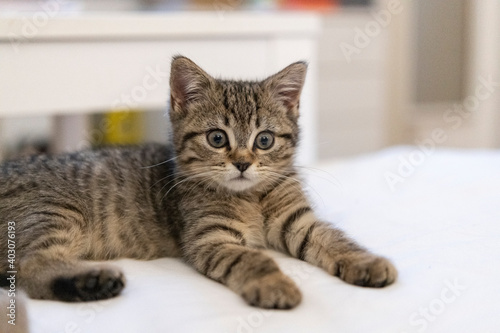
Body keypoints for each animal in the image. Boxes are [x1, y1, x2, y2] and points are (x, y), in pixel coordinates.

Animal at [0, 55, 398, 308]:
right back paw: (93, 281)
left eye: (264, 140)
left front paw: (365, 261)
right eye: (217, 138)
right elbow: (254, 259)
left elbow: (335, 238)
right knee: (29, 268)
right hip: (57, 210)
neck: (250, 197)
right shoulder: (211, 237)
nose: (242, 163)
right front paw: (273, 283)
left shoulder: (298, 221)